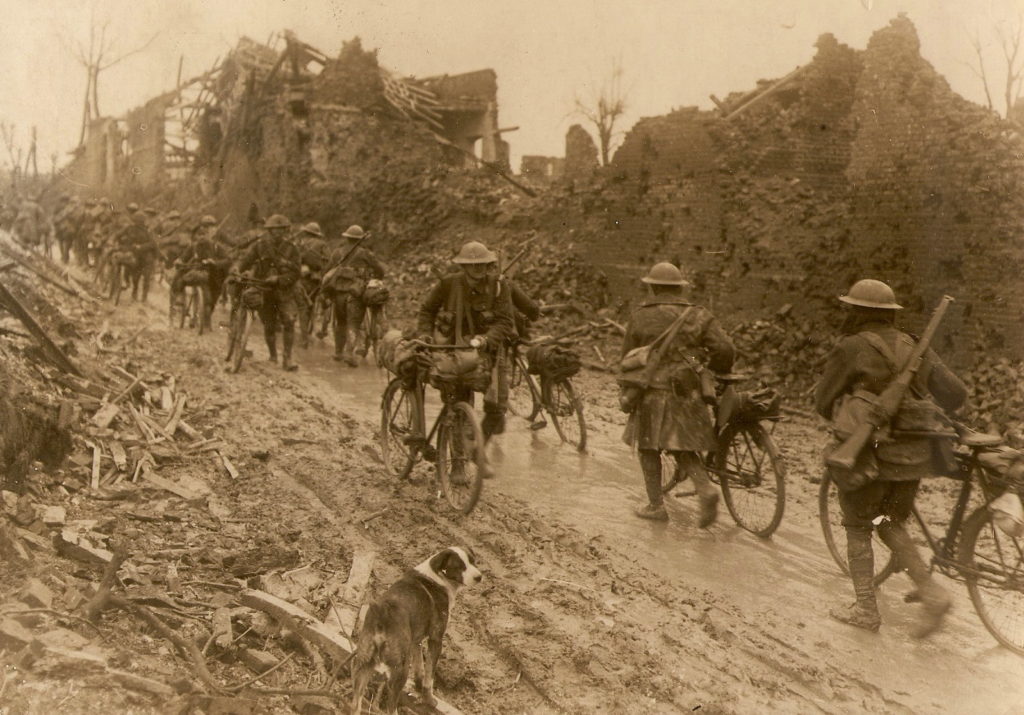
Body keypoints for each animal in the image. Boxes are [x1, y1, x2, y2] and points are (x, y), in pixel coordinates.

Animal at [350, 544, 481, 708]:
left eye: (473, 561)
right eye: (460, 567)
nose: (479, 577)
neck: (438, 576)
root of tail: (383, 614)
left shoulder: (416, 641)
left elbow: (420, 667)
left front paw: (418, 686)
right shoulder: (435, 640)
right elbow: (429, 676)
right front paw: (429, 699)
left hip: (365, 662)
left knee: (356, 701)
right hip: (401, 668)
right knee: (391, 703)